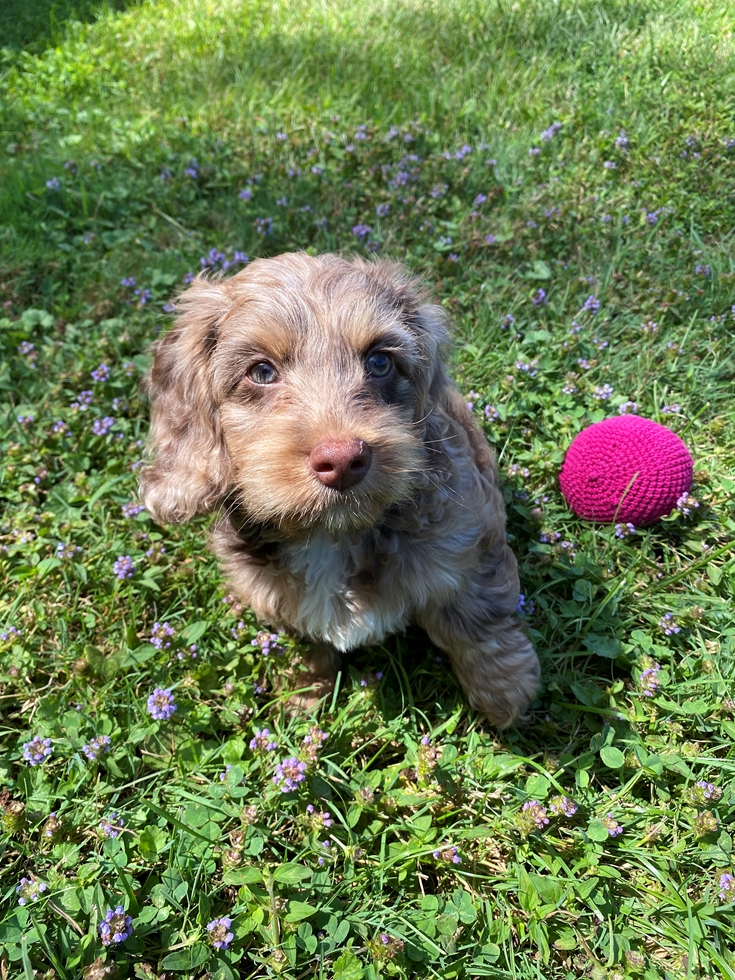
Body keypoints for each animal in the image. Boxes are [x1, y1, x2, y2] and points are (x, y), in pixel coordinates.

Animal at [139, 253, 540, 728]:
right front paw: (303, 695)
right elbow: (305, 642)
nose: (344, 460)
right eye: (261, 372)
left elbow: (477, 621)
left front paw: (505, 691)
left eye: (380, 362)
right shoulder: (275, 597)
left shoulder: (467, 545)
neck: (333, 533)